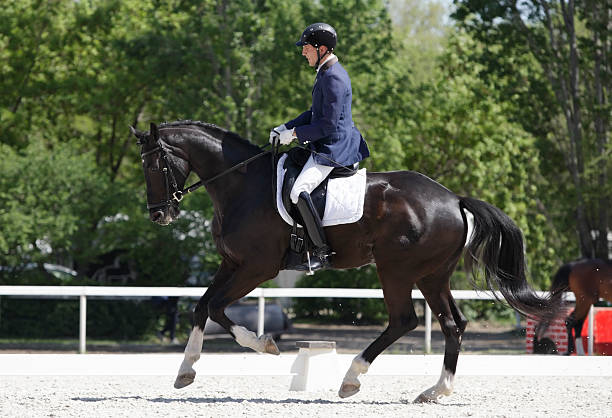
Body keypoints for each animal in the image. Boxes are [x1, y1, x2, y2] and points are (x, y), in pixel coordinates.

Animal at [133, 120, 560, 402]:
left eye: (154, 166)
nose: (159, 215)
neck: (242, 185)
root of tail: (454, 199)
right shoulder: (231, 264)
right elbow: (202, 306)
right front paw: (185, 370)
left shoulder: (257, 268)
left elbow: (217, 308)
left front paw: (265, 344)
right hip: (432, 276)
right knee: (452, 323)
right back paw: (436, 390)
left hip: (396, 270)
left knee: (404, 320)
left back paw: (351, 378)